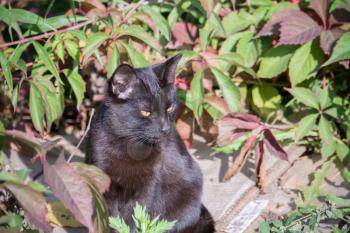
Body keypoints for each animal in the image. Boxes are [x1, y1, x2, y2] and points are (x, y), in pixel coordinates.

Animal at [86, 54, 215, 233]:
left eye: (169, 108)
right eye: (146, 112)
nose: (166, 128)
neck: (130, 147)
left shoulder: (148, 185)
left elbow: (134, 217)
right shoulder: (103, 180)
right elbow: (110, 218)